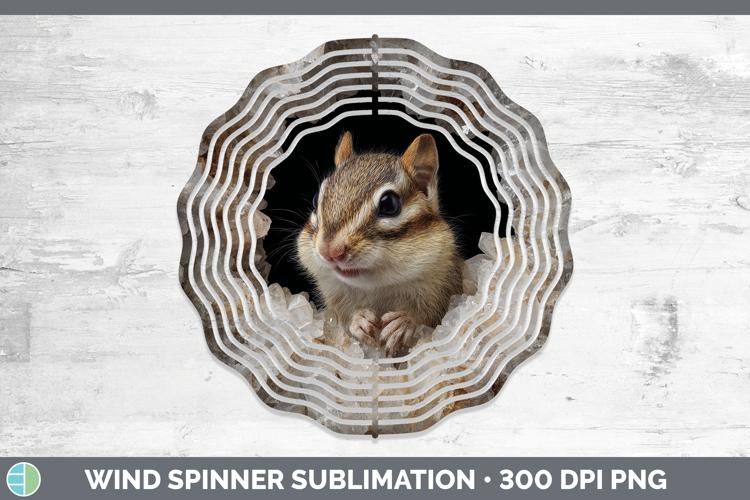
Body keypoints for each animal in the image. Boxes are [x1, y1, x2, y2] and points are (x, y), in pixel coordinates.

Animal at [296, 132, 463, 357]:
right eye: (315, 200)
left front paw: (402, 323)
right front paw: (359, 320)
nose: (329, 251)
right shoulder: (334, 293)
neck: (378, 285)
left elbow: (431, 312)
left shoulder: (443, 285)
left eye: (389, 204)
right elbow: (343, 313)